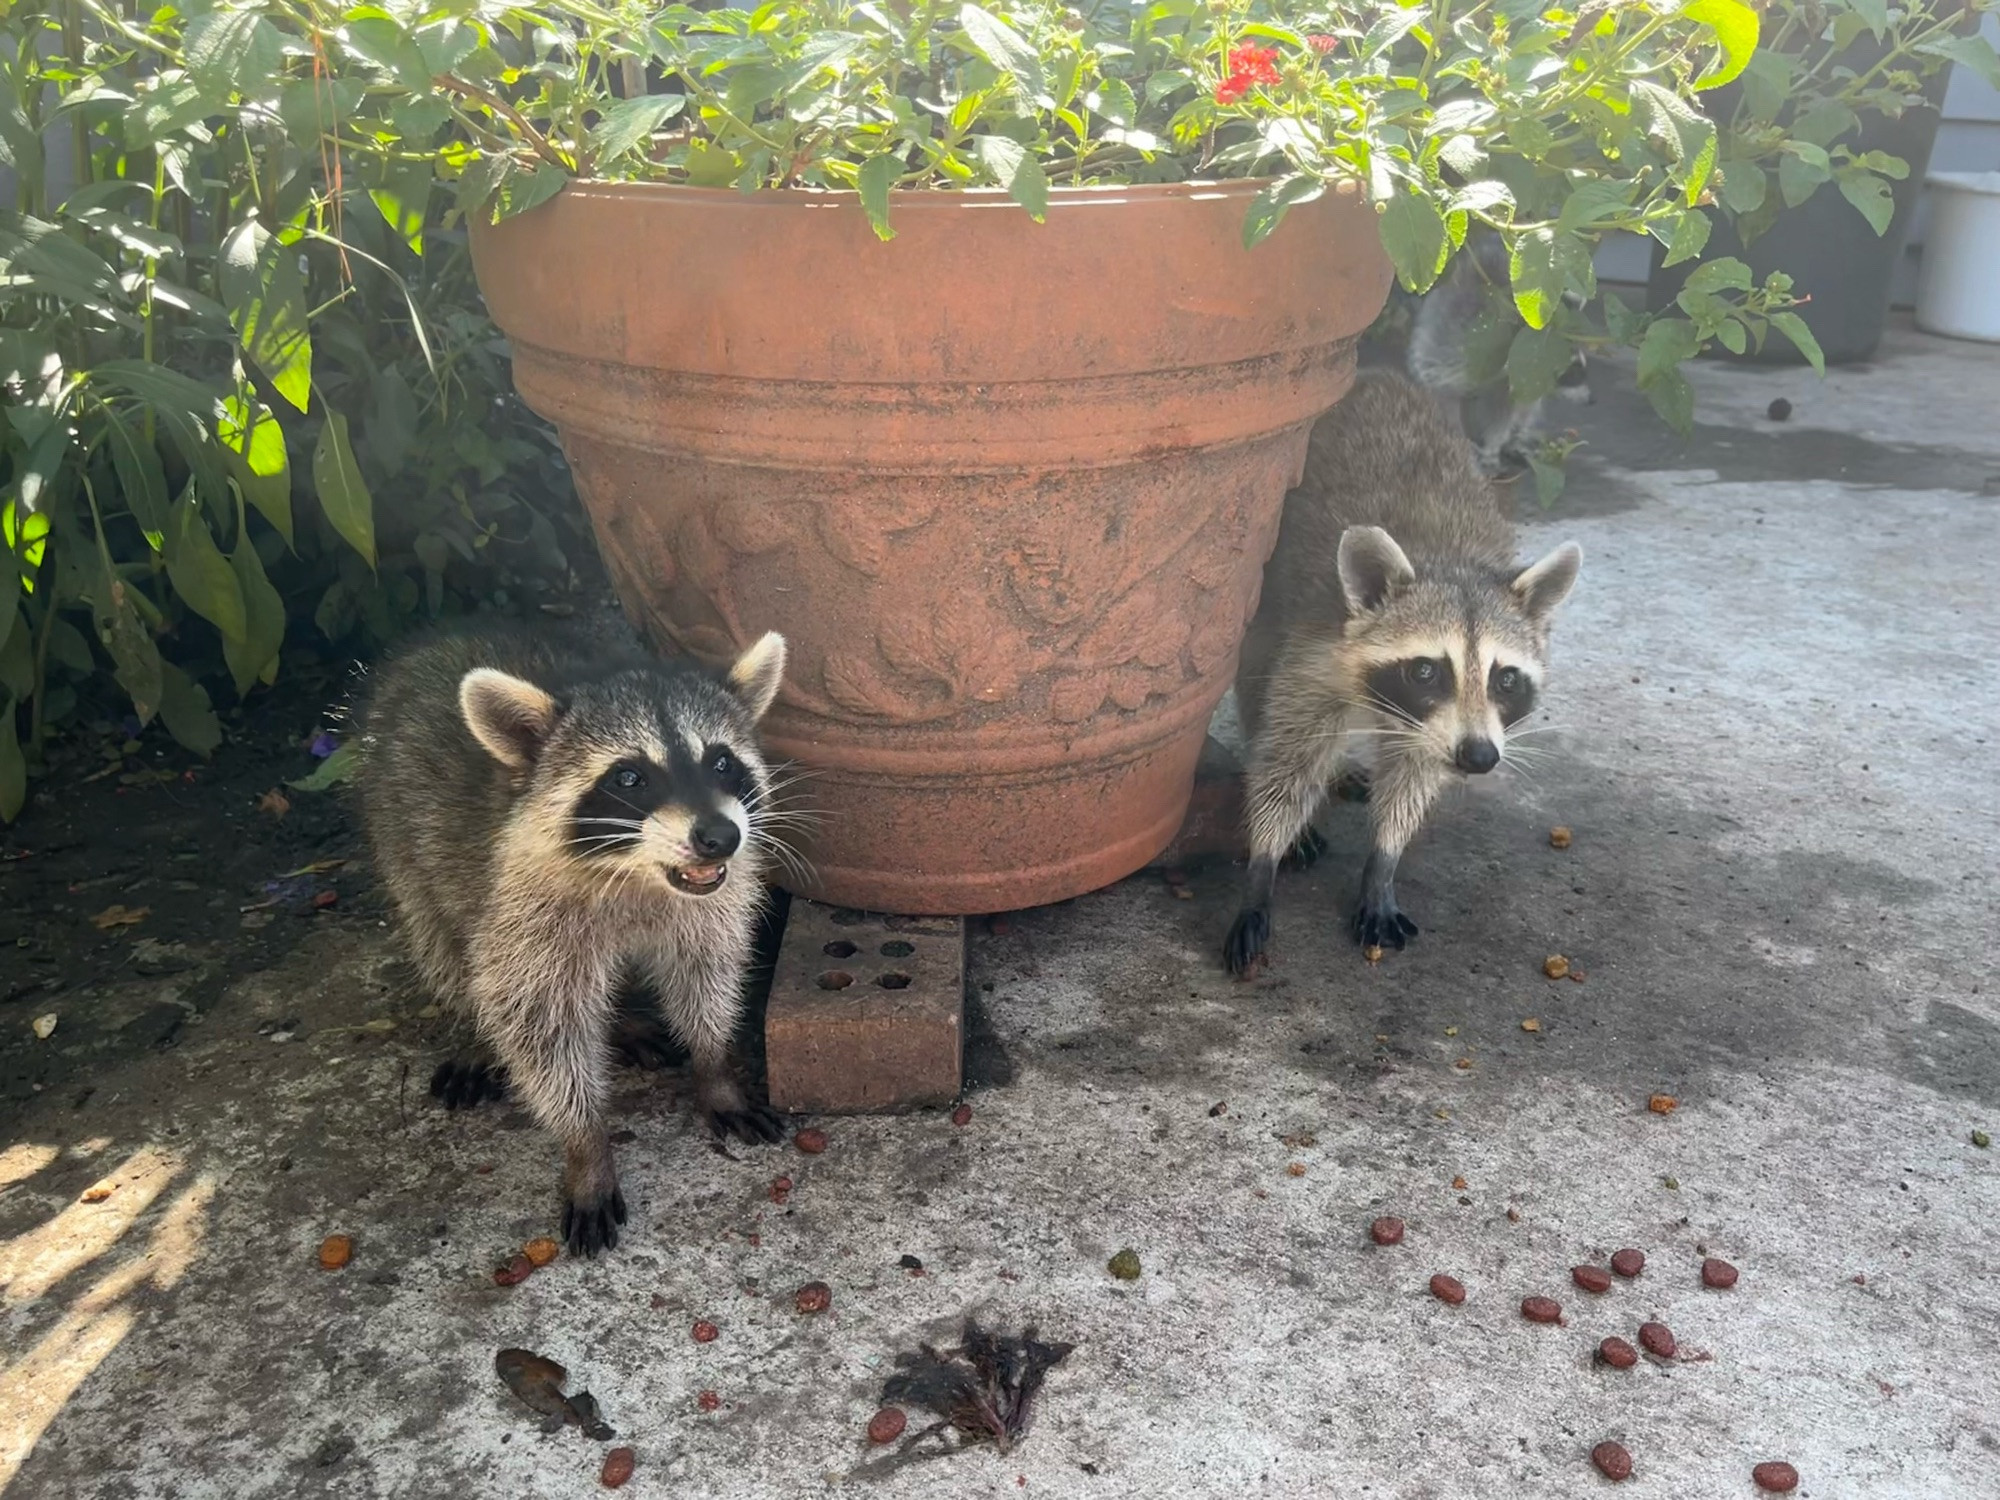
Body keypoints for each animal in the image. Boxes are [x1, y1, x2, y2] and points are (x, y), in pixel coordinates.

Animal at [356, 624, 792, 1256]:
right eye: (629, 777)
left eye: (721, 762)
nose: (720, 837)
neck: (638, 872)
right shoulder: (522, 912)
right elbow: (538, 1024)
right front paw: (586, 1144)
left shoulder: (707, 908)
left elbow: (705, 975)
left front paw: (714, 1070)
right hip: (400, 838)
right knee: (444, 943)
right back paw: (470, 1024)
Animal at [1216, 376, 1576, 980]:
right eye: (1427, 670)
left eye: (1506, 680)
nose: (1480, 758)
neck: (1447, 562)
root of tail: (1374, 376)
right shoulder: (1317, 649)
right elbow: (1286, 761)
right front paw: (1263, 864)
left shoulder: (1436, 731)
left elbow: (1413, 776)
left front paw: (1383, 861)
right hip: (1266, 584)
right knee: (1255, 676)